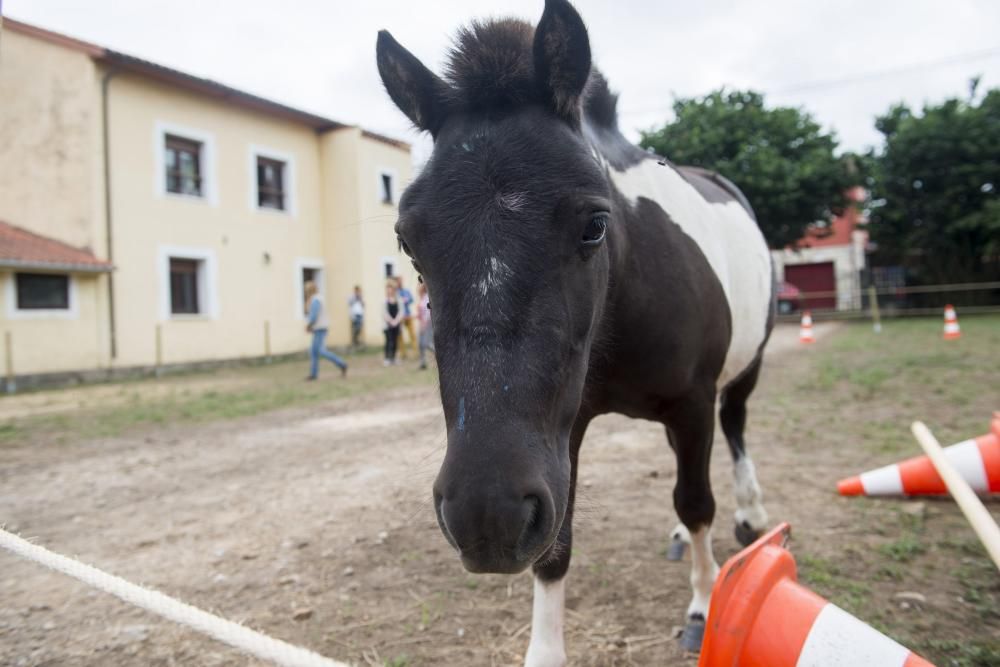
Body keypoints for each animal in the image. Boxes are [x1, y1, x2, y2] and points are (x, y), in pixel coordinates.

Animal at [378, 2, 776, 664]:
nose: (486, 517)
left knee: (737, 430)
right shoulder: (563, 438)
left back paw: (749, 515)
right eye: (409, 241)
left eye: (595, 224)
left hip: (745, 371)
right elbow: (557, 545)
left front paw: (702, 604)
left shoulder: (693, 403)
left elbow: (697, 500)